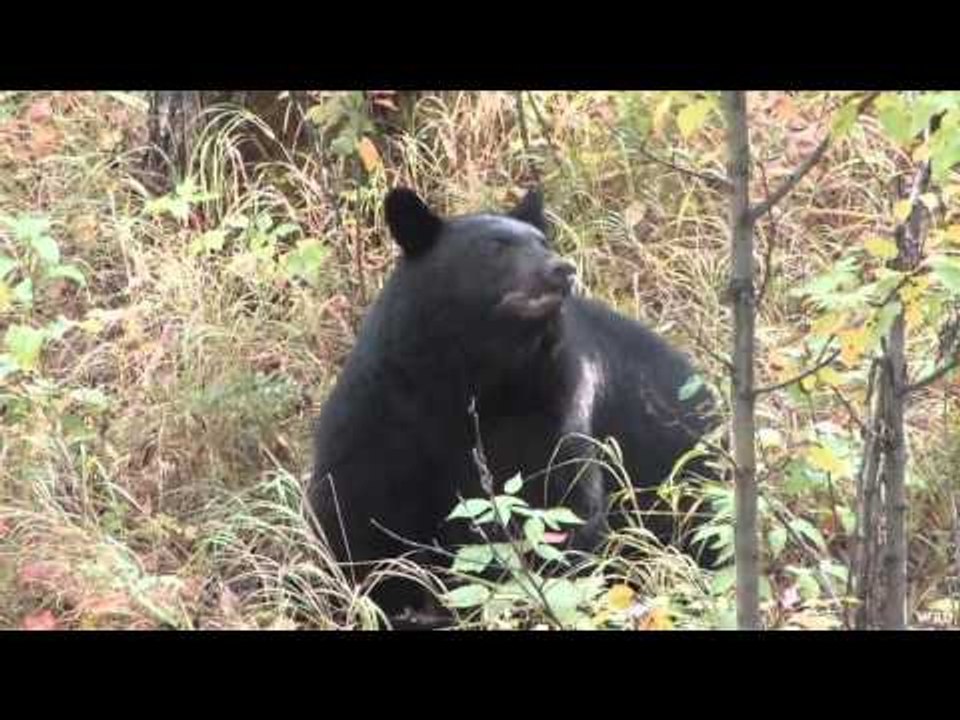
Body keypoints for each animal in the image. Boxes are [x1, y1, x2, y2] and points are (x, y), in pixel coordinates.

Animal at [307, 187, 718, 626]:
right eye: (495, 247)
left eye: (543, 242)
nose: (561, 269)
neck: (474, 376)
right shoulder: (381, 412)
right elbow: (357, 516)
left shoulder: (548, 408)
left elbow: (556, 504)